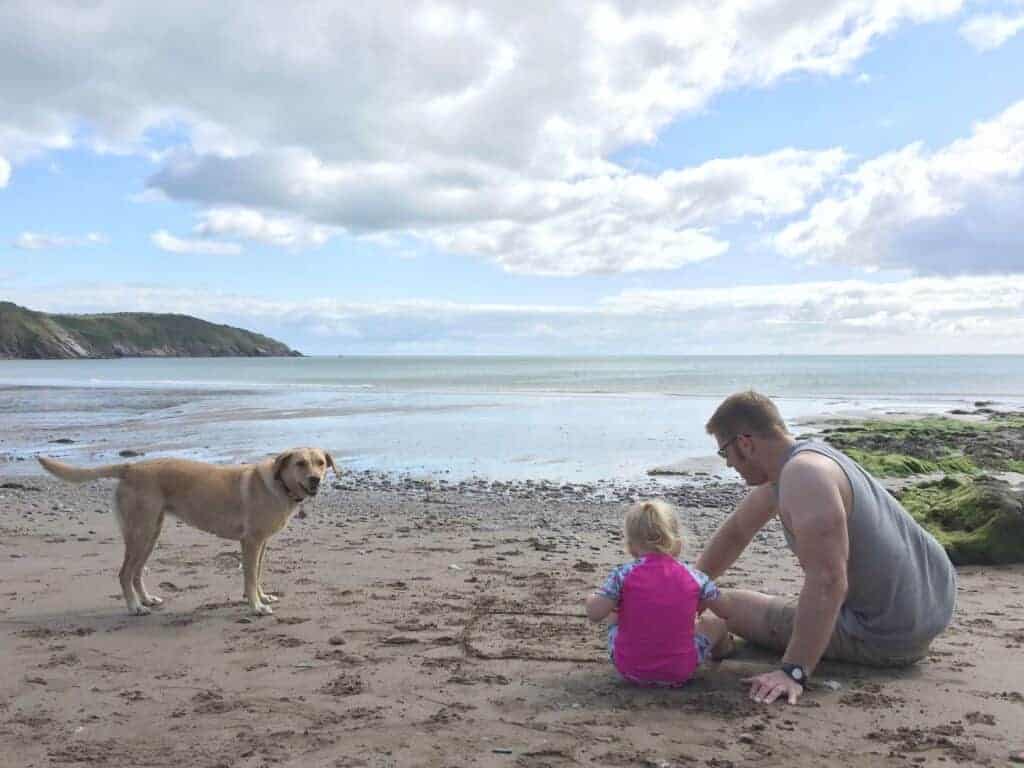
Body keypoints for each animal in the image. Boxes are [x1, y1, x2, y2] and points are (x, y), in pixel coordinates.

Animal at [36, 450, 337, 618]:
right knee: (124, 573)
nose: (315, 479)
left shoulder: (261, 544)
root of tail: (130, 467)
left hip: (151, 533)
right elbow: (250, 577)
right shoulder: (251, 542)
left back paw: (146, 599)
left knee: (136, 572)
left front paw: (261, 598)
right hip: (140, 532)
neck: (279, 485)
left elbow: (257, 575)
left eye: (320, 462)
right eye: (300, 463)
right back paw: (135, 607)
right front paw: (256, 607)